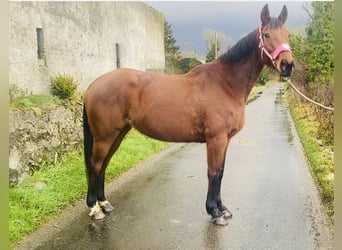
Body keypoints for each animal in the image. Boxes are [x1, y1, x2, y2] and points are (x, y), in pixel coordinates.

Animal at [83, 3, 294, 226]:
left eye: (287, 34)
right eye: (267, 34)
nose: (287, 65)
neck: (225, 83)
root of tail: (93, 85)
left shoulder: (225, 139)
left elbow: (221, 172)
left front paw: (222, 208)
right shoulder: (216, 139)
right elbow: (214, 173)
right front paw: (214, 212)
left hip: (117, 134)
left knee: (103, 165)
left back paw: (105, 204)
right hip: (104, 137)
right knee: (95, 166)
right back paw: (95, 209)